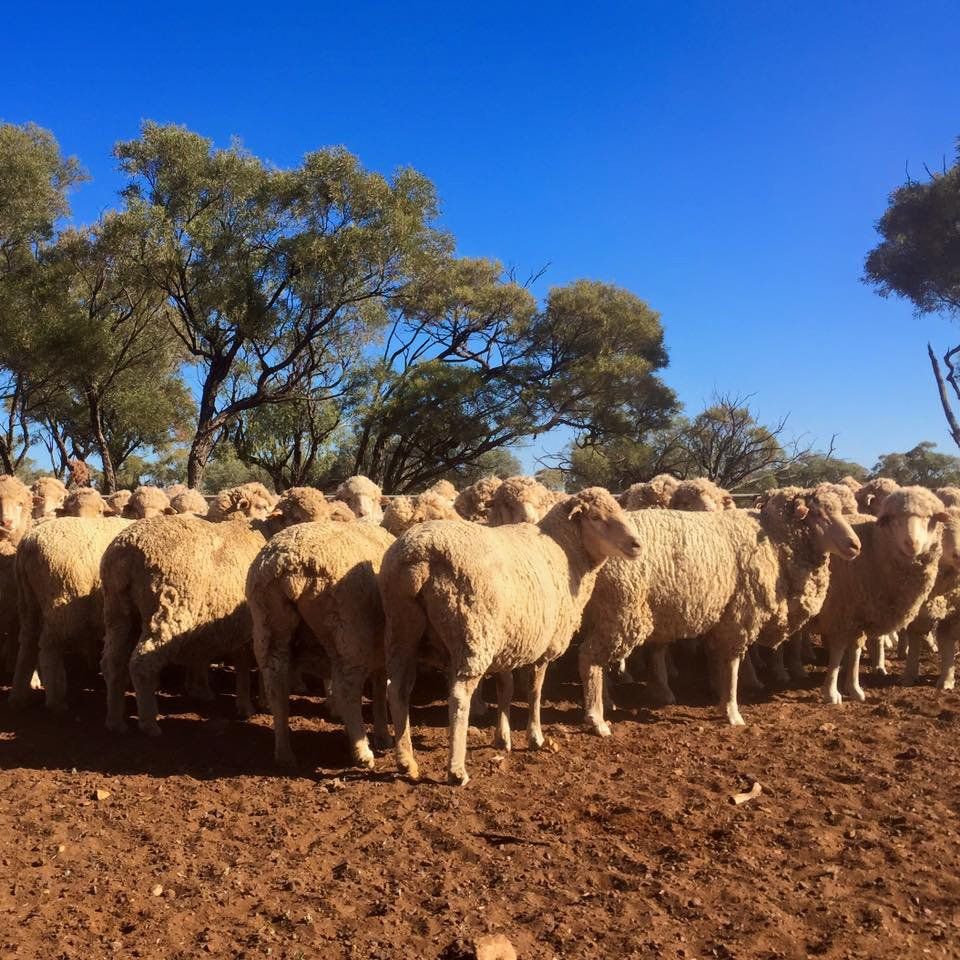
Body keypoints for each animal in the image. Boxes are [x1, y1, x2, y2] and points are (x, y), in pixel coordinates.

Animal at [9, 516, 131, 710]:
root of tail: (28, 543)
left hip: (28, 601)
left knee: (28, 641)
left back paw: (18, 697)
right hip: (64, 604)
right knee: (49, 645)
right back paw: (56, 701)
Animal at [247, 521, 396, 768]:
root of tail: (292, 567)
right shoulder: (380, 650)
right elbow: (380, 689)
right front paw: (383, 736)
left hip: (267, 623)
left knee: (276, 686)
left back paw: (284, 754)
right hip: (349, 633)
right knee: (348, 690)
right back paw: (361, 751)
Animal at [380, 487, 643, 785]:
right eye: (596, 518)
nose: (637, 545)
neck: (565, 552)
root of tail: (419, 554)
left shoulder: (508, 642)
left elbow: (505, 688)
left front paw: (502, 738)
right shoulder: (543, 647)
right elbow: (534, 692)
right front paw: (535, 737)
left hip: (401, 629)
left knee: (397, 690)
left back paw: (406, 762)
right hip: (473, 634)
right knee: (458, 697)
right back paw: (456, 770)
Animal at [579, 486, 861, 732]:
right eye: (818, 514)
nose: (855, 545)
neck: (774, 539)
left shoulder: (724, 614)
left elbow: (719, 660)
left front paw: (719, 694)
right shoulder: (740, 614)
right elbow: (732, 665)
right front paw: (731, 711)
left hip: (599, 614)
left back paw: (607, 702)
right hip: (621, 611)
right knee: (590, 658)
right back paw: (596, 717)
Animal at [808, 486, 948, 705]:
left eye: (928, 518)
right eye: (894, 519)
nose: (911, 543)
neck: (874, 546)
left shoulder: (860, 614)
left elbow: (855, 651)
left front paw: (854, 689)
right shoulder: (841, 613)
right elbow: (838, 652)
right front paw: (831, 693)